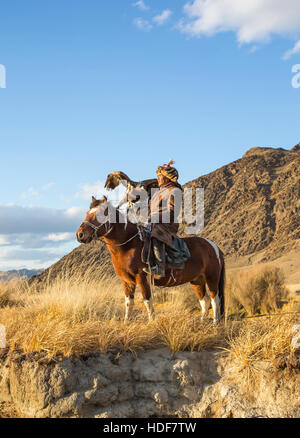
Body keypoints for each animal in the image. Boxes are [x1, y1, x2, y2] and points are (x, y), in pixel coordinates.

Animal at [75, 197, 225, 324]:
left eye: (100, 214)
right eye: (87, 213)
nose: (80, 235)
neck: (127, 245)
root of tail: (214, 247)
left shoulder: (141, 277)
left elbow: (147, 300)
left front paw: (152, 322)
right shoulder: (126, 280)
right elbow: (128, 303)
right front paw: (126, 323)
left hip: (211, 278)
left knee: (214, 300)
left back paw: (215, 323)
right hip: (197, 280)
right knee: (204, 301)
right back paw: (202, 322)